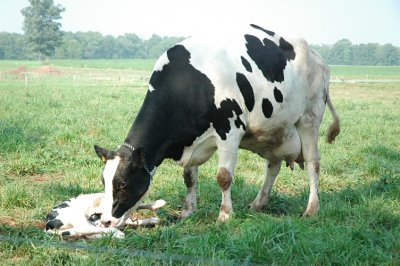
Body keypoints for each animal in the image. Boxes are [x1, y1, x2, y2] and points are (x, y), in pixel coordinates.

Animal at [94, 24, 340, 229]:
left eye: (123, 184)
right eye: (104, 181)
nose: (105, 221)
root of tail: (318, 56)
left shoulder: (230, 130)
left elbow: (224, 177)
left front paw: (224, 215)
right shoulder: (192, 140)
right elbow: (189, 178)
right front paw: (187, 211)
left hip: (310, 117)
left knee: (313, 163)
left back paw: (312, 208)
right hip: (274, 131)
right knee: (273, 166)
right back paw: (258, 203)